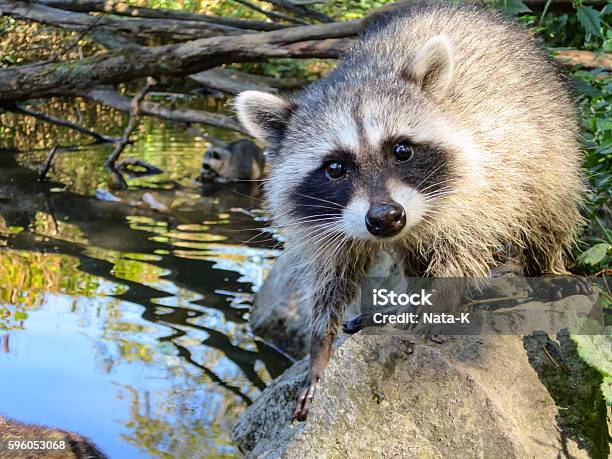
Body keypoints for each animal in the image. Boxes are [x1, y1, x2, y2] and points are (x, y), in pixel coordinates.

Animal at [233, 3, 584, 422]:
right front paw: (320, 344)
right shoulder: (327, 221)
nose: (386, 218)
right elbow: (331, 274)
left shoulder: (482, 177)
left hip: (550, 138)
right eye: (335, 168)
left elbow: (463, 247)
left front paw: (436, 305)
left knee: (550, 206)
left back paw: (546, 266)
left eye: (401, 150)